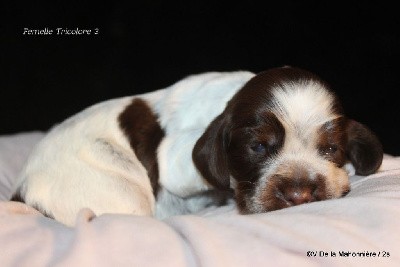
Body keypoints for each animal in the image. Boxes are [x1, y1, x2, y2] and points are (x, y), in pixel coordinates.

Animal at [10, 67, 382, 226]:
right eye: (258, 148)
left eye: (331, 150)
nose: (300, 195)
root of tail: (22, 193)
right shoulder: (174, 157)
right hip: (119, 193)